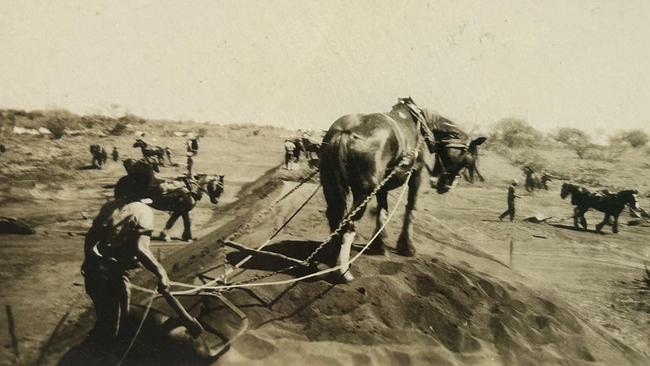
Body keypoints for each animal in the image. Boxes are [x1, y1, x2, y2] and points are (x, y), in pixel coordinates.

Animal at [318, 96, 486, 282]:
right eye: (468, 161)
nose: (446, 185)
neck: (420, 125)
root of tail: (345, 131)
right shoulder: (416, 174)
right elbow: (410, 209)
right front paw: (407, 247)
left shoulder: (383, 184)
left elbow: (382, 211)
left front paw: (379, 245)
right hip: (364, 191)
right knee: (349, 223)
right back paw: (343, 271)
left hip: (331, 184)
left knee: (334, 217)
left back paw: (332, 258)